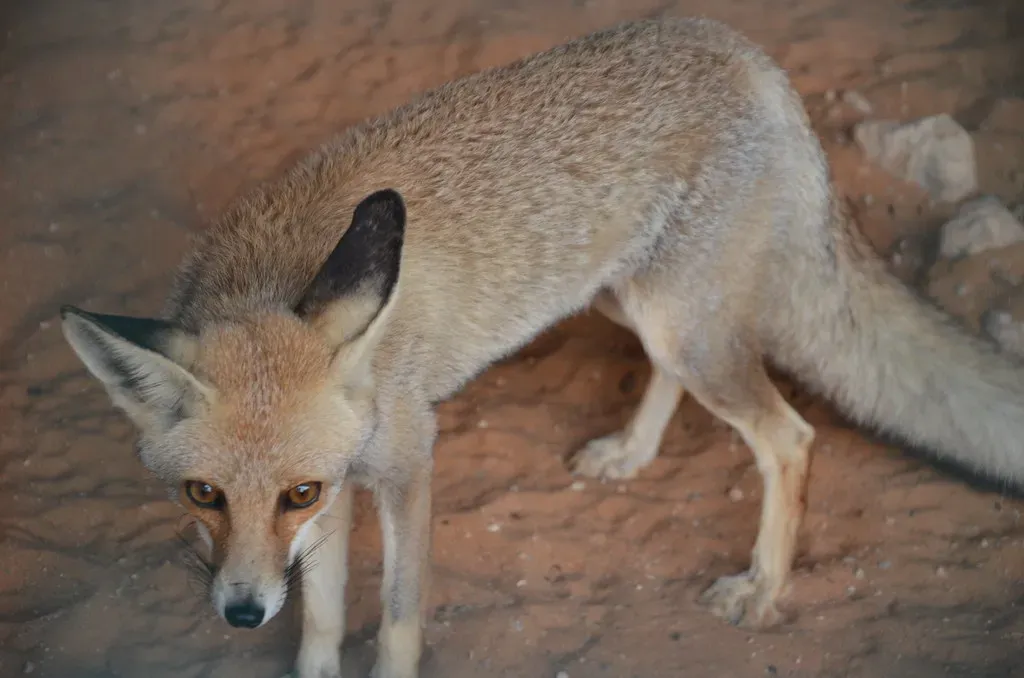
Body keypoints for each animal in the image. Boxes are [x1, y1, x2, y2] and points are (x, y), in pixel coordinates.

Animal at [58, 15, 1024, 678]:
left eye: (294, 492)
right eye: (202, 494)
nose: (242, 615)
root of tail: (740, 47)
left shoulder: (400, 466)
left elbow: (397, 617)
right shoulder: (341, 489)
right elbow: (324, 614)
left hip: (684, 326)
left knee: (789, 438)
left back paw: (761, 589)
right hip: (635, 304)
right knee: (670, 379)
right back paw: (631, 452)